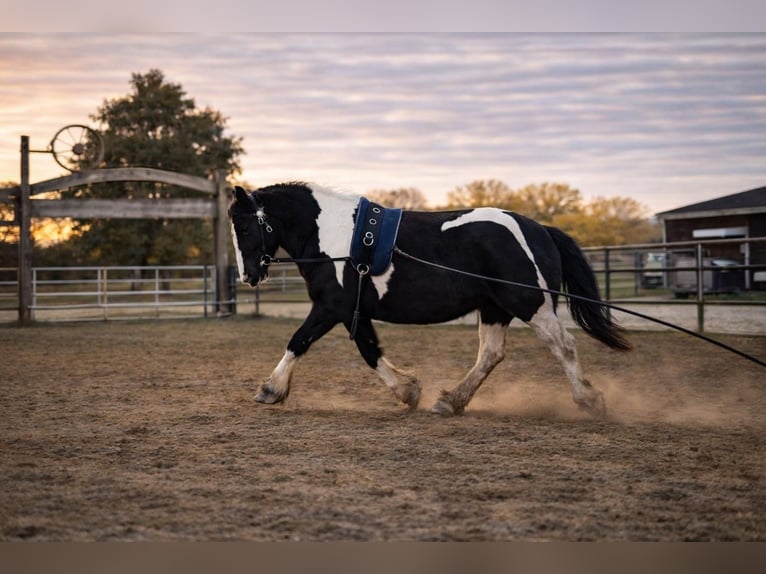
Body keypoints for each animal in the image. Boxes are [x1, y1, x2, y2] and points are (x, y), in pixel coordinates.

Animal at [228, 182, 631, 418]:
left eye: (245, 227)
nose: (248, 276)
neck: (334, 236)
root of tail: (539, 229)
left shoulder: (331, 306)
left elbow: (299, 341)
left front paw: (270, 390)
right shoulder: (351, 310)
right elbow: (370, 349)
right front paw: (409, 390)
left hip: (531, 304)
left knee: (563, 345)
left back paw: (589, 400)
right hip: (495, 308)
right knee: (491, 354)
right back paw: (451, 401)